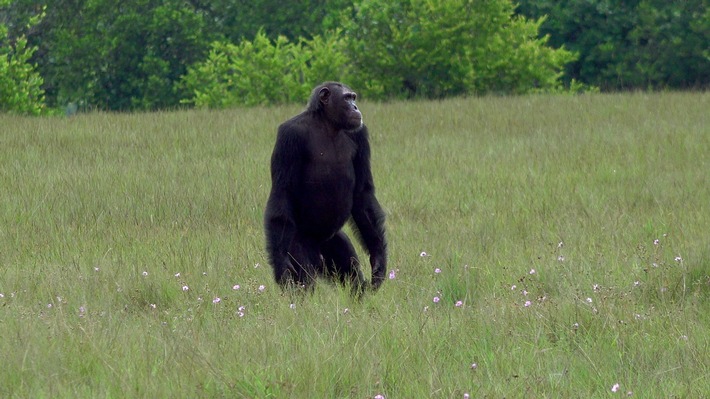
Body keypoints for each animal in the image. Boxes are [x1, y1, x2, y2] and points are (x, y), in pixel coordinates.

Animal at [266, 82, 390, 294]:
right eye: (347, 98)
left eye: (353, 97)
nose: (355, 107)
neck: (328, 124)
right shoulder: (289, 137)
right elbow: (283, 193)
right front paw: (281, 265)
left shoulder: (360, 135)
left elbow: (362, 196)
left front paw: (378, 259)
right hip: (297, 242)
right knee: (305, 282)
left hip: (333, 244)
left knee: (352, 276)